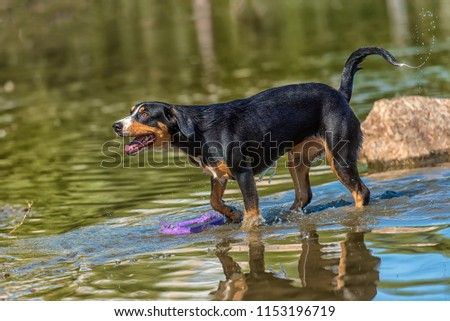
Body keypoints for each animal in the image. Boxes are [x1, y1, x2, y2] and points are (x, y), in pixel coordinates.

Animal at [112, 47, 404, 228]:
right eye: (131, 111)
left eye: (144, 114)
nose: (116, 125)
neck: (198, 130)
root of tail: (341, 94)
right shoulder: (218, 176)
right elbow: (214, 202)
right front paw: (232, 214)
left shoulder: (243, 173)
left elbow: (251, 210)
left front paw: (246, 226)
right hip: (297, 160)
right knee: (304, 196)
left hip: (340, 157)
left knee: (361, 192)